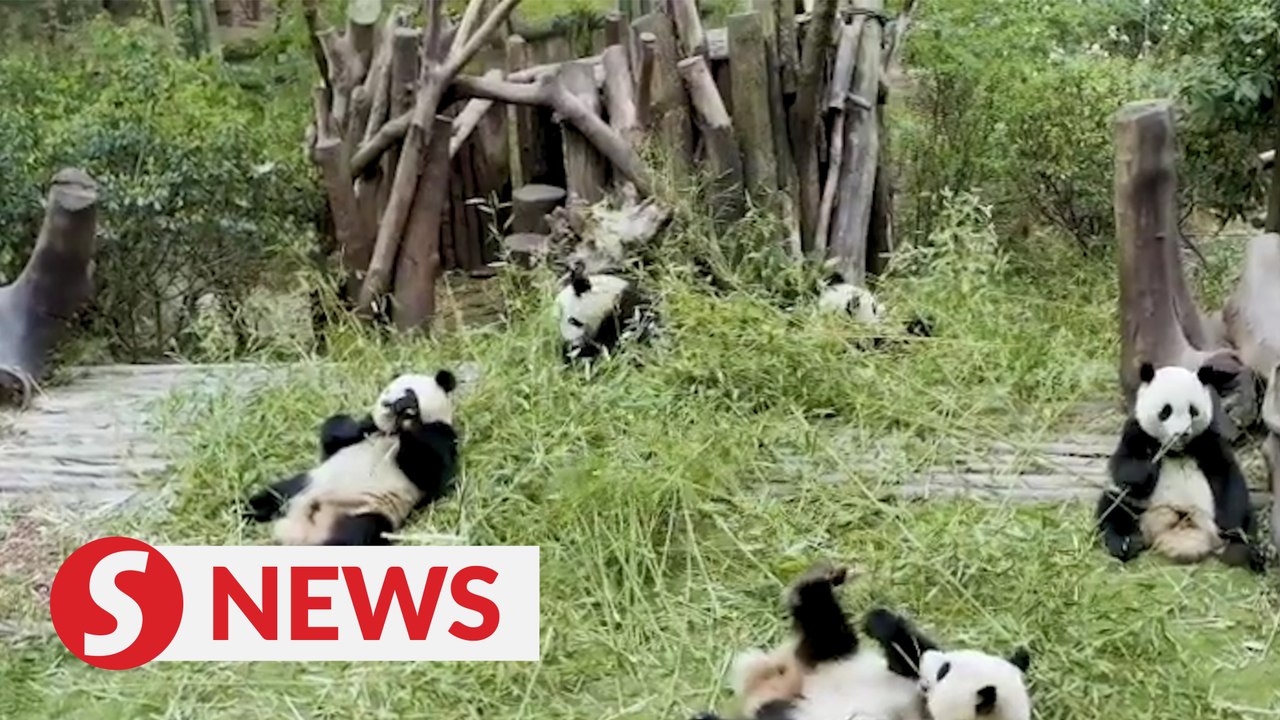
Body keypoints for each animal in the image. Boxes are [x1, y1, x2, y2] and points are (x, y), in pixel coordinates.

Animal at [243, 370, 460, 546]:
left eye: (408, 392)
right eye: (386, 391)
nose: (386, 404)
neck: (391, 433)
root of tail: (299, 529)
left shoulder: (441, 435)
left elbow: (430, 473)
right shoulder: (368, 429)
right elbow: (336, 438)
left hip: (366, 511)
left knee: (355, 535)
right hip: (304, 486)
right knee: (271, 496)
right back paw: (242, 512)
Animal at [691, 563, 1033, 720]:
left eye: (943, 671)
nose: (929, 663)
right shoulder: (904, 676)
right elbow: (906, 649)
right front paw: (882, 621)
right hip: (834, 656)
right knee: (823, 623)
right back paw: (819, 580)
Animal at [1096, 361, 1265, 572]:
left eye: (1193, 410)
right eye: (1165, 411)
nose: (1181, 433)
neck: (1175, 450)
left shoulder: (1208, 439)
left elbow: (1226, 475)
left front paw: (1232, 527)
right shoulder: (1137, 432)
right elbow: (1124, 464)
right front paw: (1144, 471)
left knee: (1247, 519)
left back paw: (1245, 552)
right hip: (1140, 508)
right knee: (1114, 506)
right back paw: (1125, 542)